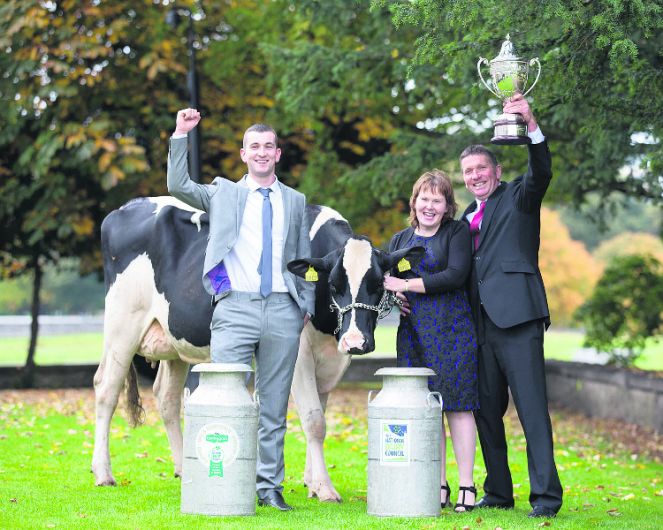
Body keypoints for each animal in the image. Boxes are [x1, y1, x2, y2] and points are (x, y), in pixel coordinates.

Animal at [91, 196, 422, 502]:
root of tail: (127, 207)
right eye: (334, 285)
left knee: (166, 398)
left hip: (174, 339)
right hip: (122, 325)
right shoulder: (299, 352)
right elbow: (314, 420)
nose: (355, 341)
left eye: (379, 283)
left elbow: (319, 413)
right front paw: (326, 489)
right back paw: (103, 473)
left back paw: (184, 470)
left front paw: (312, 482)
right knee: (106, 389)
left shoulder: (330, 357)